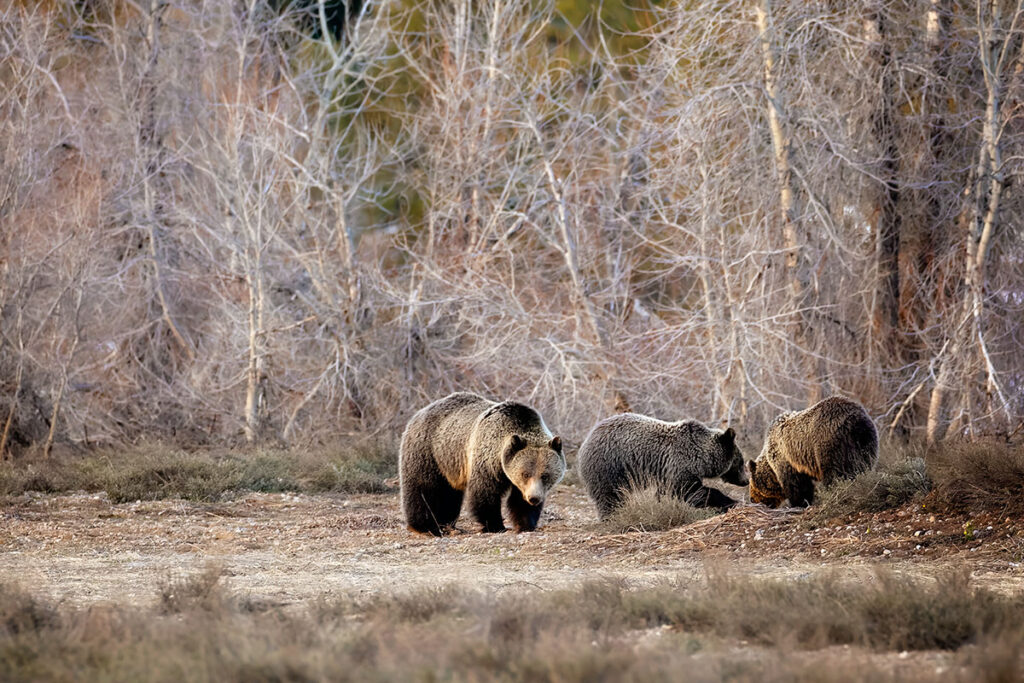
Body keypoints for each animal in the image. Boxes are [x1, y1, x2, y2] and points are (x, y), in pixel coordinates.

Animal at [399, 392, 565, 535]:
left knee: (449, 494)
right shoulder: (487, 461)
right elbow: (485, 494)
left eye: (545, 475)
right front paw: (496, 525)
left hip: (449, 463)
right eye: (525, 474)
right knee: (423, 488)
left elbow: (519, 501)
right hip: (429, 451)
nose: (533, 498)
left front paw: (525, 524)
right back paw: (424, 526)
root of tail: (419, 413)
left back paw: (445, 522)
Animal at [576, 413, 748, 520]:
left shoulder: (665, 472)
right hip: (610, 466)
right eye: (740, 462)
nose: (746, 481)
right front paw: (729, 502)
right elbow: (691, 492)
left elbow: (666, 492)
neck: (700, 457)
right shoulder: (680, 465)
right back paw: (612, 517)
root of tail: (586, 441)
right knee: (610, 495)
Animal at [748, 395, 878, 508]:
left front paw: (798, 503)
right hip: (866, 442)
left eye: (752, 484)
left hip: (829, 443)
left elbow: (797, 485)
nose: (752, 499)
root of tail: (856, 421)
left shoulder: (788, 459)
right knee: (863, 466)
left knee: (835, 474)